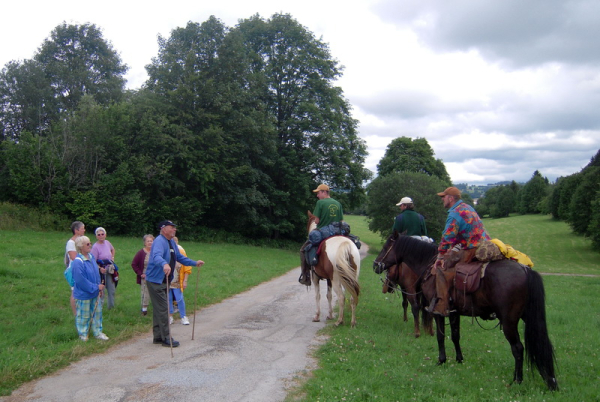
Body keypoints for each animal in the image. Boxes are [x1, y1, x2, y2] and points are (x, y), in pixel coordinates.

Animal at [370, 234, 556, 392]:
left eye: (386, 246)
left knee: (518, 348)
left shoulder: (438, 312)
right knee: (541, 344)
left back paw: (517, 380)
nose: (375, 265)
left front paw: (441, 360)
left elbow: (440, 336)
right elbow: (455, 336)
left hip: (509, 321)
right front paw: (459, 359)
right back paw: (550, 380)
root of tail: (526, 270)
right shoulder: (454, 313)